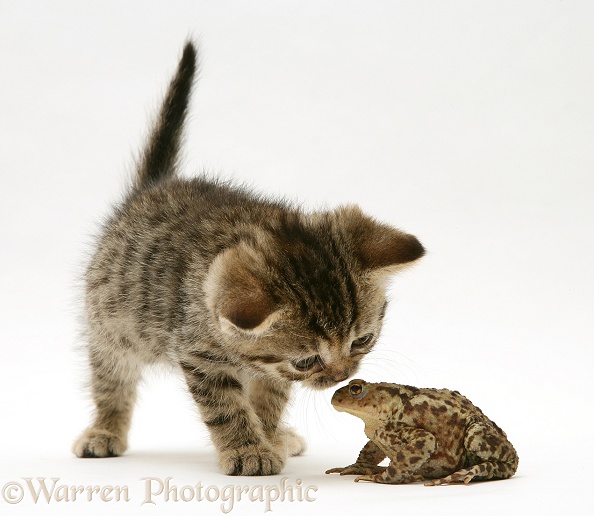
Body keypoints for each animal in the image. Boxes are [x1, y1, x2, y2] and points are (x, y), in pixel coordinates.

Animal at [74, 41, 424, 476]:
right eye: (307, 361)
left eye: (363, 340)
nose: (343, 374)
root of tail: (152, 188)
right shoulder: (200, 355)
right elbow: (226, 406)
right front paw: (247, 449)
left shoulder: (268, 370)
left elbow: (267, 401)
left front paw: (269, 436)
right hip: (112, 325)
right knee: (111, 379)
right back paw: (104, 430)